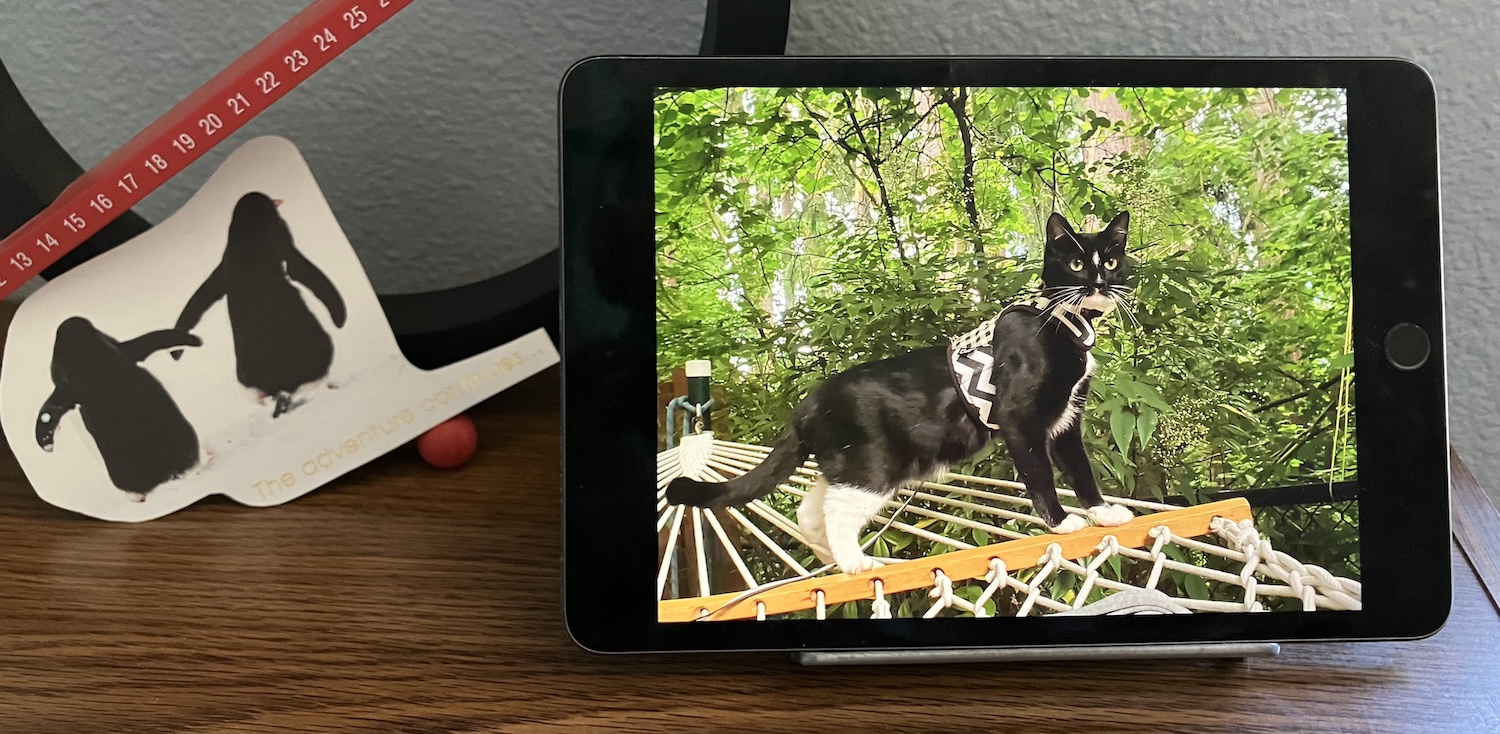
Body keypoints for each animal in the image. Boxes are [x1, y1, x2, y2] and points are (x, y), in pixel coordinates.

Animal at [669, 210, 1134, 573]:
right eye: (1076, 264)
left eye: (1111, 261)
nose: (1098, 284)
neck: (1064, 323)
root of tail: (807, 406)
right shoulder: (1020, 418)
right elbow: (1040, 475)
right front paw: (1061, 521)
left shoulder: (1066, 420)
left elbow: (1080, 470)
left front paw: (1103, 513)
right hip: (874, 465)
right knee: (837, 513)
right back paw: (856, 563)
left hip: (844, 463)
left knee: (809, 509)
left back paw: (831, 560)